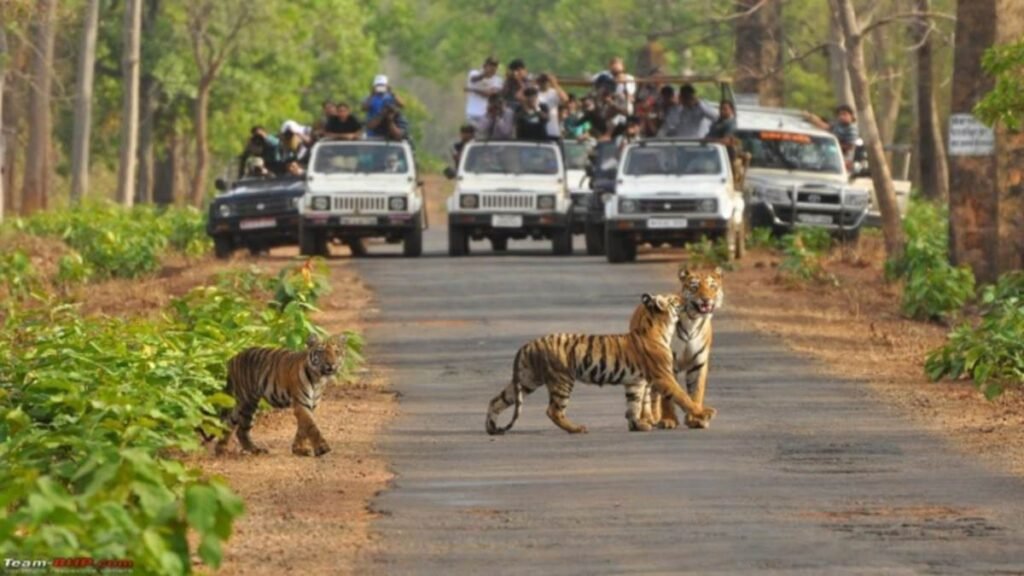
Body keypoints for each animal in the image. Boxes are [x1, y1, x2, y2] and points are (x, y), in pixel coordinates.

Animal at [204, 334, 348, 455]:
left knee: (235, 427)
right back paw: (229, 450)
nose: (331, 364)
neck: (318, 378)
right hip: (244, 401)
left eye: (336, 352)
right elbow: (311, 426)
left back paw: (242, 449)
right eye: (321, 351)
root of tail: (233, 358)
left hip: (245, 404)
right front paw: (322, 448)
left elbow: (303, 428)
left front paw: (299, 449)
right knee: (234, 425)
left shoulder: (311, 405)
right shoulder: (301, 404)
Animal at [485, 293, 712, 432]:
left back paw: (491, 427)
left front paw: (637, 425)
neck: (660, 327)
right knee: (554, 410)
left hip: (527, 379)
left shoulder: (635, 382)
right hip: (562, 379)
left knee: (496, 400)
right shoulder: (663, 376)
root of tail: (529, 344)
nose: (686, 298)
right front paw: (704, 413)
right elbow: (682, 396)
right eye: (674, 298)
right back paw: (577, 429)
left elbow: (634, 404)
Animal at [643, 266, 724, 428]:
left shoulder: (698, 363)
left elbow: (696, 392)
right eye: (694, 287)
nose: (706, 299)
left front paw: (695, 419)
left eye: (712, 286)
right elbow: (668, 395)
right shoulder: (667, 363)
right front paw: (668, 419)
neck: (693, 320)